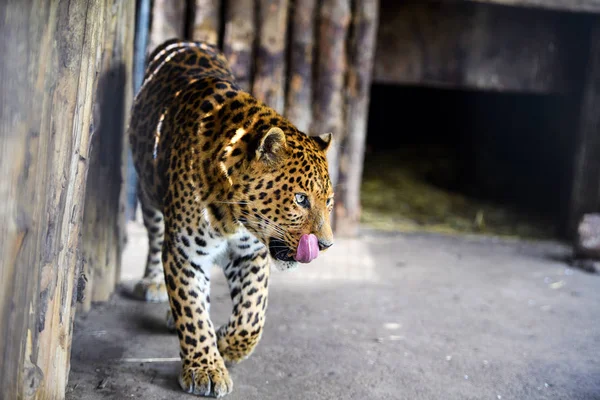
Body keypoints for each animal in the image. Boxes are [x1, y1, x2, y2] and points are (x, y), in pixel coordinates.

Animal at [127, 36, 332, 396]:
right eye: (300, 198)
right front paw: (205, 368)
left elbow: (252, 315)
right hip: (148, 194)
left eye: (330, 201)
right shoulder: (184, 252)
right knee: (154, 237)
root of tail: (185, 40)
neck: (233, 217)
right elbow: (192, 312)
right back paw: (153, 283)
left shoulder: (251, 254)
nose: (325, 245)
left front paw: (225, 344)